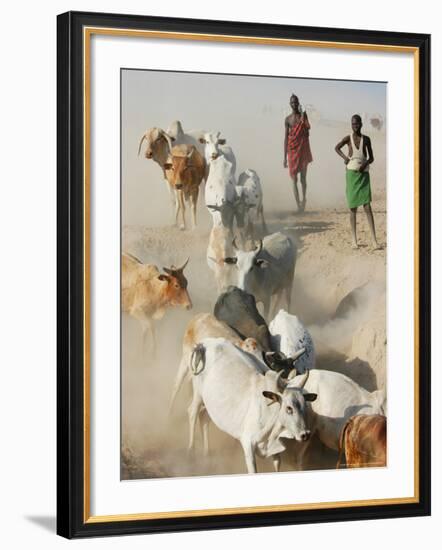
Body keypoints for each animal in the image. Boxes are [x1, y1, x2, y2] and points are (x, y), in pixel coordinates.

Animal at [190, 338, 314, 476]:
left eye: (304, 406)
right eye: (289, 408)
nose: (305, 434)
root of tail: (205, 343)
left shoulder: (275, 451)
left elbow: (276, 465)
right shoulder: (248, 445)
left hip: (211, 404)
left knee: (204, 417)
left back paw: (206, 455)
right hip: (198, 393)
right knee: (192, 413)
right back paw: (191, 452)